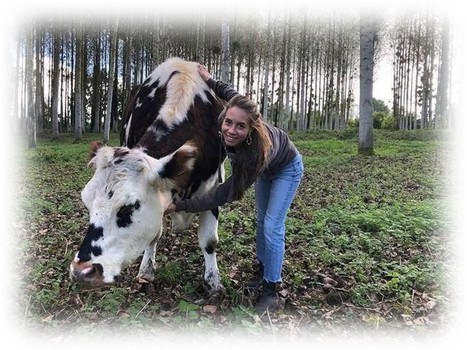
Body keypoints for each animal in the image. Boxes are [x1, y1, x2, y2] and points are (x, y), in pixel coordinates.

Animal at [70, 58, 229, 296]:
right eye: (86, 204)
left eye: (127, 207)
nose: (82, 271)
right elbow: (154, 234)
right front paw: (146, 269)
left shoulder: (214, 188)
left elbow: (209, 241)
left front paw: (213, 282)